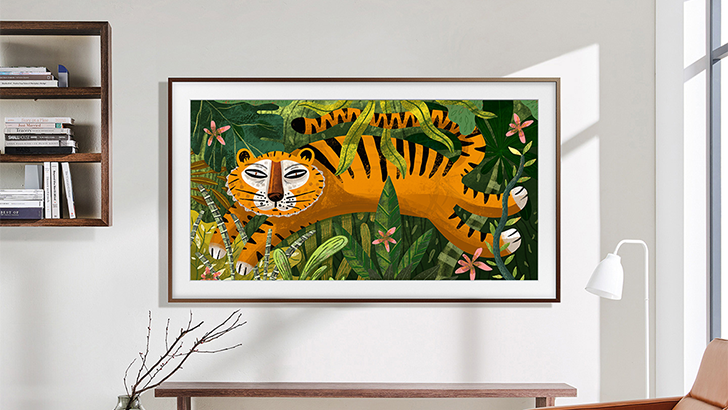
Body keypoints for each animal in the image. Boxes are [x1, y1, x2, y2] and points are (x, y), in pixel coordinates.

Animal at [208, 108, 529, 275]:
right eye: (255, 174)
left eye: (294, 174)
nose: (274, 196)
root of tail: (448, 167)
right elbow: (231, 215)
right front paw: (218, 246)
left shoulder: (293, 216)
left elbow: (261, 234)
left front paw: (242, 262)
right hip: (445, 203)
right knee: (477, 206)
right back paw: (516, 203)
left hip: (438, 208)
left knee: (467, 232)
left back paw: (510, 231)